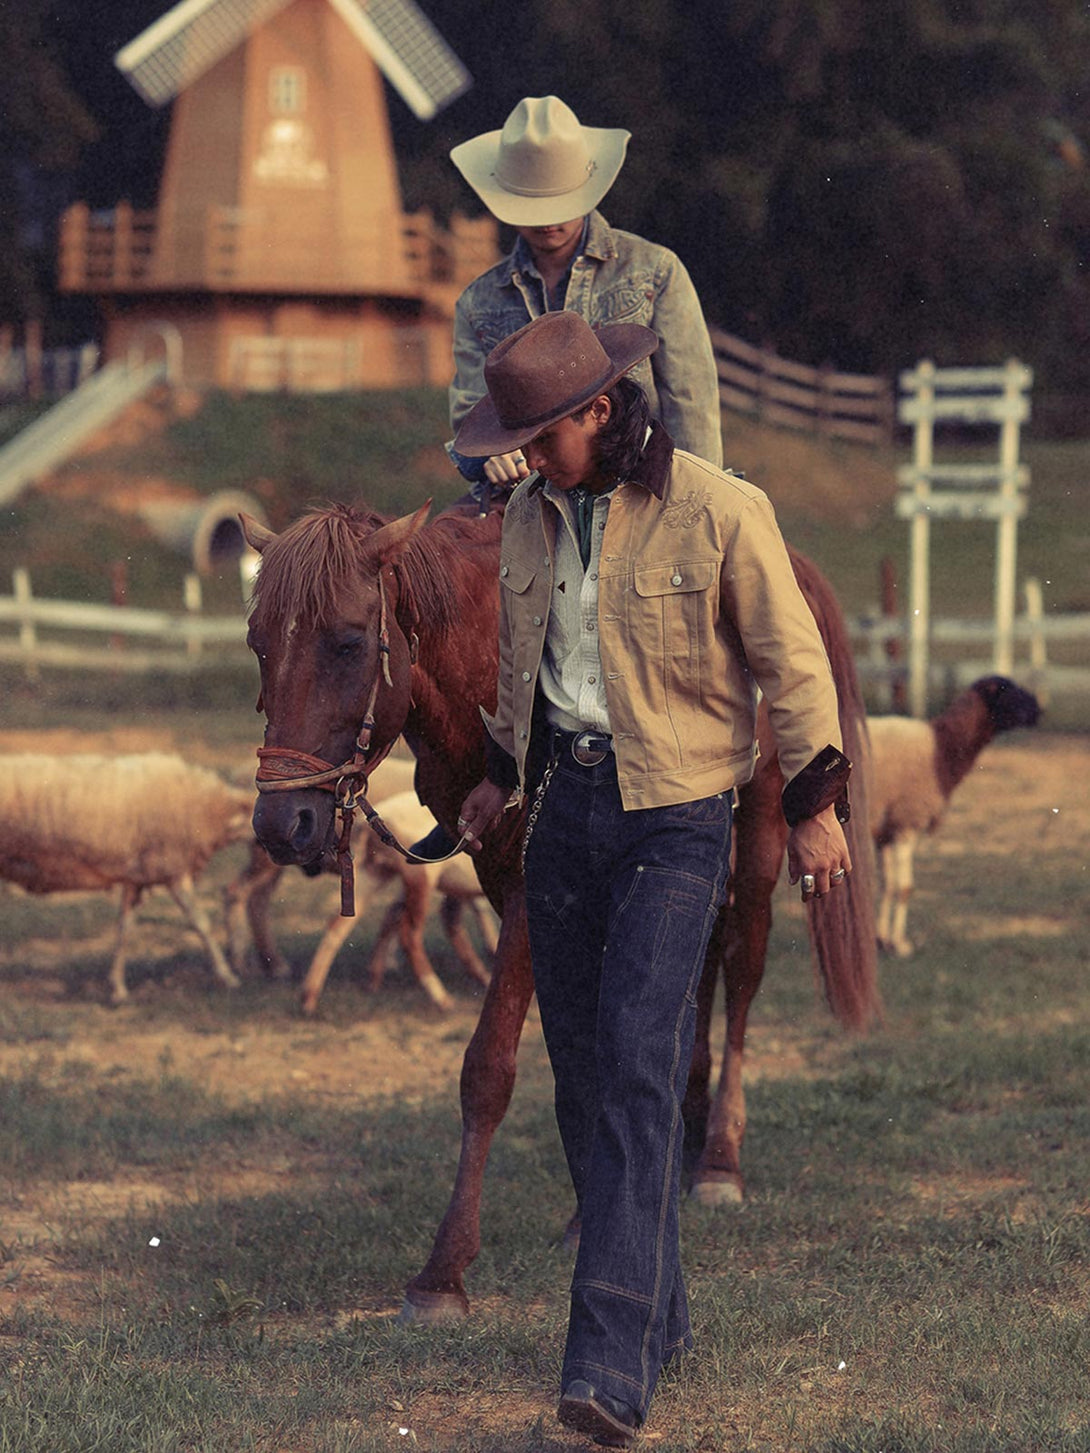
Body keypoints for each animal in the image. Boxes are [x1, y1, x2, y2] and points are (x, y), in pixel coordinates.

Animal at [0, 755, 255, 1005]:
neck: (209, 808)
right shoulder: (172, 871)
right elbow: (201, 924)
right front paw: (227, 976)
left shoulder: (136, 878)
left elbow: (125, 929)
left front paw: (118, 988)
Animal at [241, 505, 877, 1325]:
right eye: (259, 643)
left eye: (348, 641)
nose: (281, 823)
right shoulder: (508, 876)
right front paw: (587, 1211)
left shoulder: (530, 889)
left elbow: (489, 1067)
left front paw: (443, 1272)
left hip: (765, 835)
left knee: (740, 970)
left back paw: (719, 1158)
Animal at [872, 677, 1040, 958]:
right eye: (1006, 690)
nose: (1039, 711)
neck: (942, 748)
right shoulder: (909, 819)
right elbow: (905, 888)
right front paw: (899, 944)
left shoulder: (886, 828)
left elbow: (888, 884)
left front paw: (882, 939)